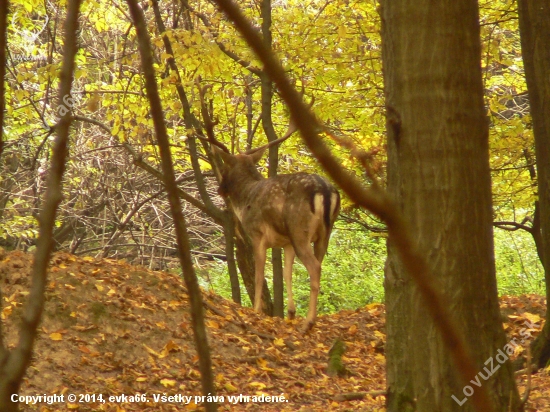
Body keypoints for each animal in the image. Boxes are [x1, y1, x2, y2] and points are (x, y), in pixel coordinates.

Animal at [215, 141, 340, 332]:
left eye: (223, 167)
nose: (220, 190)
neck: (244, 202)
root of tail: (325, 190)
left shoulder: (257, 235)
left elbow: (259, 276)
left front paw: (256, 310)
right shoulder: (286, 243)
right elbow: (286, 273)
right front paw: (290, 313)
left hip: (299, 231)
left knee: (315, 267)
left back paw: (308, 323)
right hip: (324, 233)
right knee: (319, 264)